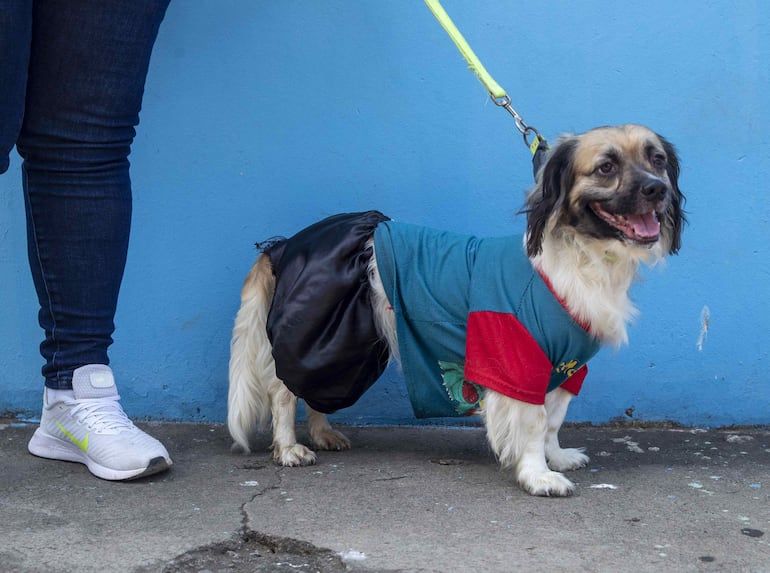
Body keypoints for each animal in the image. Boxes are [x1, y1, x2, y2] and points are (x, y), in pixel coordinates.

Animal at [226, 124, 684, 496]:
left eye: (657, 160)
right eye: (606, 167)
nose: (657, 189)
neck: (584, 256)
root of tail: (285, 245)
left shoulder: (565, 365)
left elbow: (553, 419)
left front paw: (555, 458)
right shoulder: (517, 359)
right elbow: (534, 422)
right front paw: (538, 475)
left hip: (346, 346)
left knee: (315, 390)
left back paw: (323, 434)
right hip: (320, 334)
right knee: (284, 391)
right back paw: (289, 447)